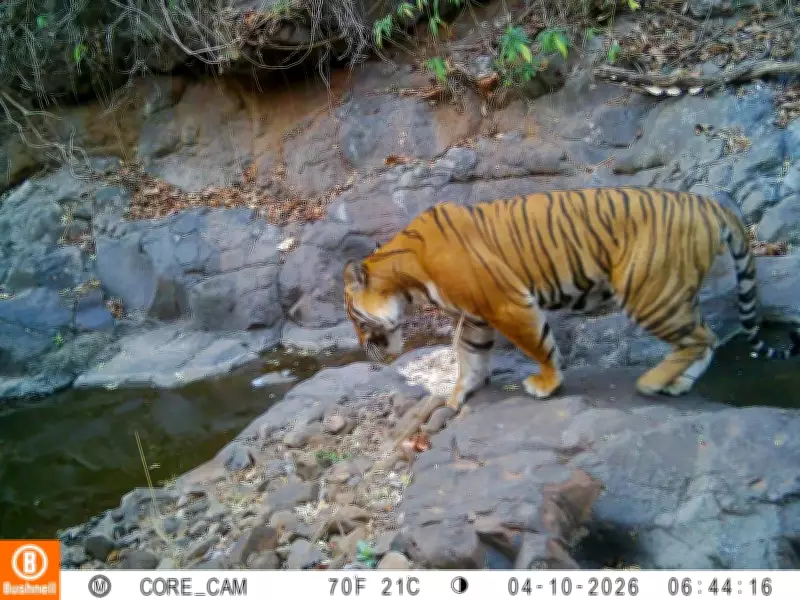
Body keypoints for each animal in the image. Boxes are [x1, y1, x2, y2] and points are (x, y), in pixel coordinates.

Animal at [343, 186, 800, 411]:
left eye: (355, 319)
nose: (363, 349)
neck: (407, 275)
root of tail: (708, 204)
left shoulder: (507, 303)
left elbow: (538, 345)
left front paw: (546, 384)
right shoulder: (476, 315)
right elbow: (468, 353)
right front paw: (459, 395)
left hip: (649, 291)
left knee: (699, 338)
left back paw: (652, 382)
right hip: (674, 292)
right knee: (707, 337)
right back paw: (678, 383)